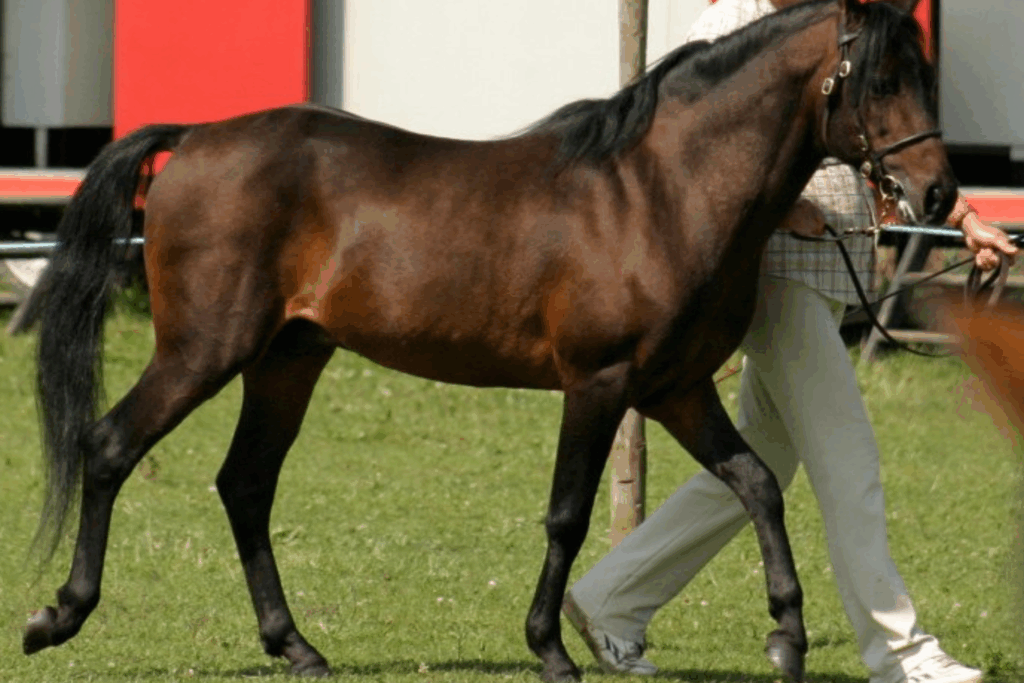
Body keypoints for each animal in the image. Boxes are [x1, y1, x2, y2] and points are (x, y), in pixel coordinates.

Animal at [22, 0, 952, 680]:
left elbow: (756, 483)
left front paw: (787, 634)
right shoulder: (599, 383)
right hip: (204, 351)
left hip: (289, 359)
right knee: (109, 446)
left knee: (246, 484)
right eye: (880, 79)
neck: (662, 191)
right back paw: (58, 614)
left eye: (922, 72)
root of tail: (195, 137)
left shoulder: (676, 389)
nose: (938, 192)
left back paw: (296, 645)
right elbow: (568, 515)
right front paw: (550, 647)